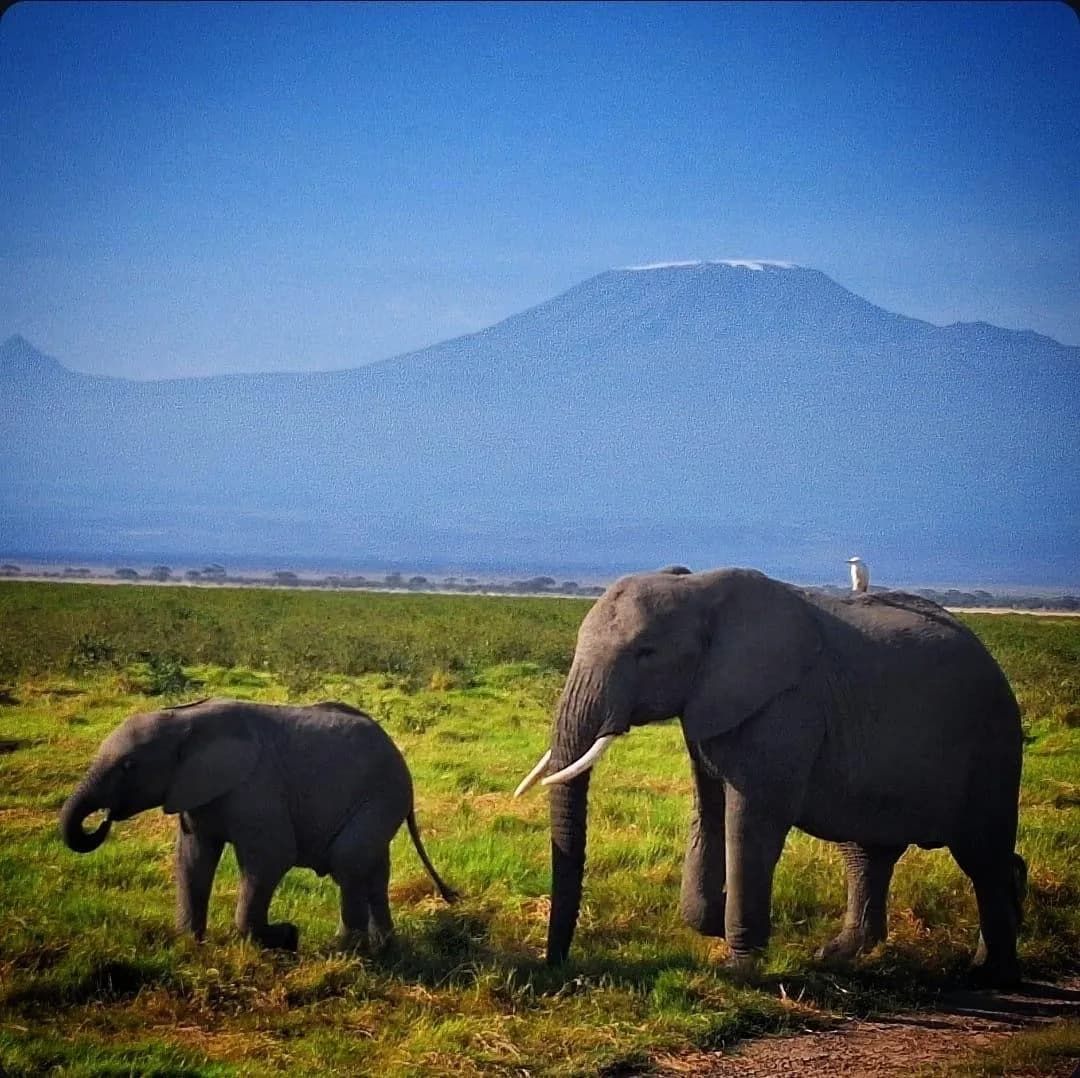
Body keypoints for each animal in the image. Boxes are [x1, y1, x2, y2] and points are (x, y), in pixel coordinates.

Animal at [61, 698, 456, 951]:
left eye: (129, 766)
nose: (104, 819)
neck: (184, 718)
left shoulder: (256, 787)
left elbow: (270, 857)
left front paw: (287, 937)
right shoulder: (195, 793)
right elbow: (192, 859)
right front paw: (190, 944)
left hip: (383, 794)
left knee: (349, 860)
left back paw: (346, 949)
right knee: (372, 867)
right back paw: (384, 946)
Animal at [515, 567, 1026, 986]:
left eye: (646, 652)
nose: (558, 967)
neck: (700, 590)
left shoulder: (784, 709)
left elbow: (751, 823)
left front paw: (739, 968)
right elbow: (710, 809)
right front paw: (712, 920)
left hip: (992, 741)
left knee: (981, 855)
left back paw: (989, 972)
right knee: (870, 854)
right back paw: (838, 957)